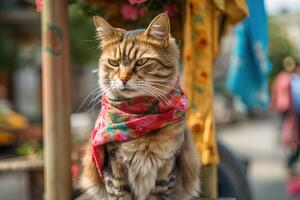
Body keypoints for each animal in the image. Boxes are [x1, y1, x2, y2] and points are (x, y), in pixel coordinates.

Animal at [78, 12, 199, 200]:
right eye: (114, 63)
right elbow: (120, 194)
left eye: (142, 62)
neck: (140, 118)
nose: (123, 79)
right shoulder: (115, 167)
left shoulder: (166, 167)